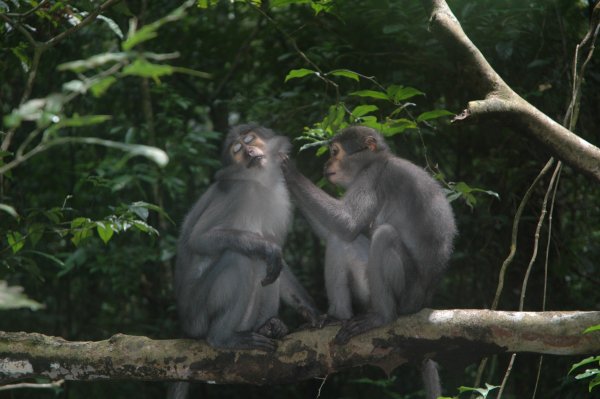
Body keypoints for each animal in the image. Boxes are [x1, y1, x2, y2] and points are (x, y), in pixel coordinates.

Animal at [282, 126, 454, 399]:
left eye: (335, 152)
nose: (326, 163)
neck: (376, 160)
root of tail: (423, 303)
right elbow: (337, 231)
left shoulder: (370, 178)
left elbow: (347, 223)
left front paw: (288, 171)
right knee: (341, 240)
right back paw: (336, 316)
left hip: (406, 294)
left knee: (382, 236)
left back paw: (382, 317)